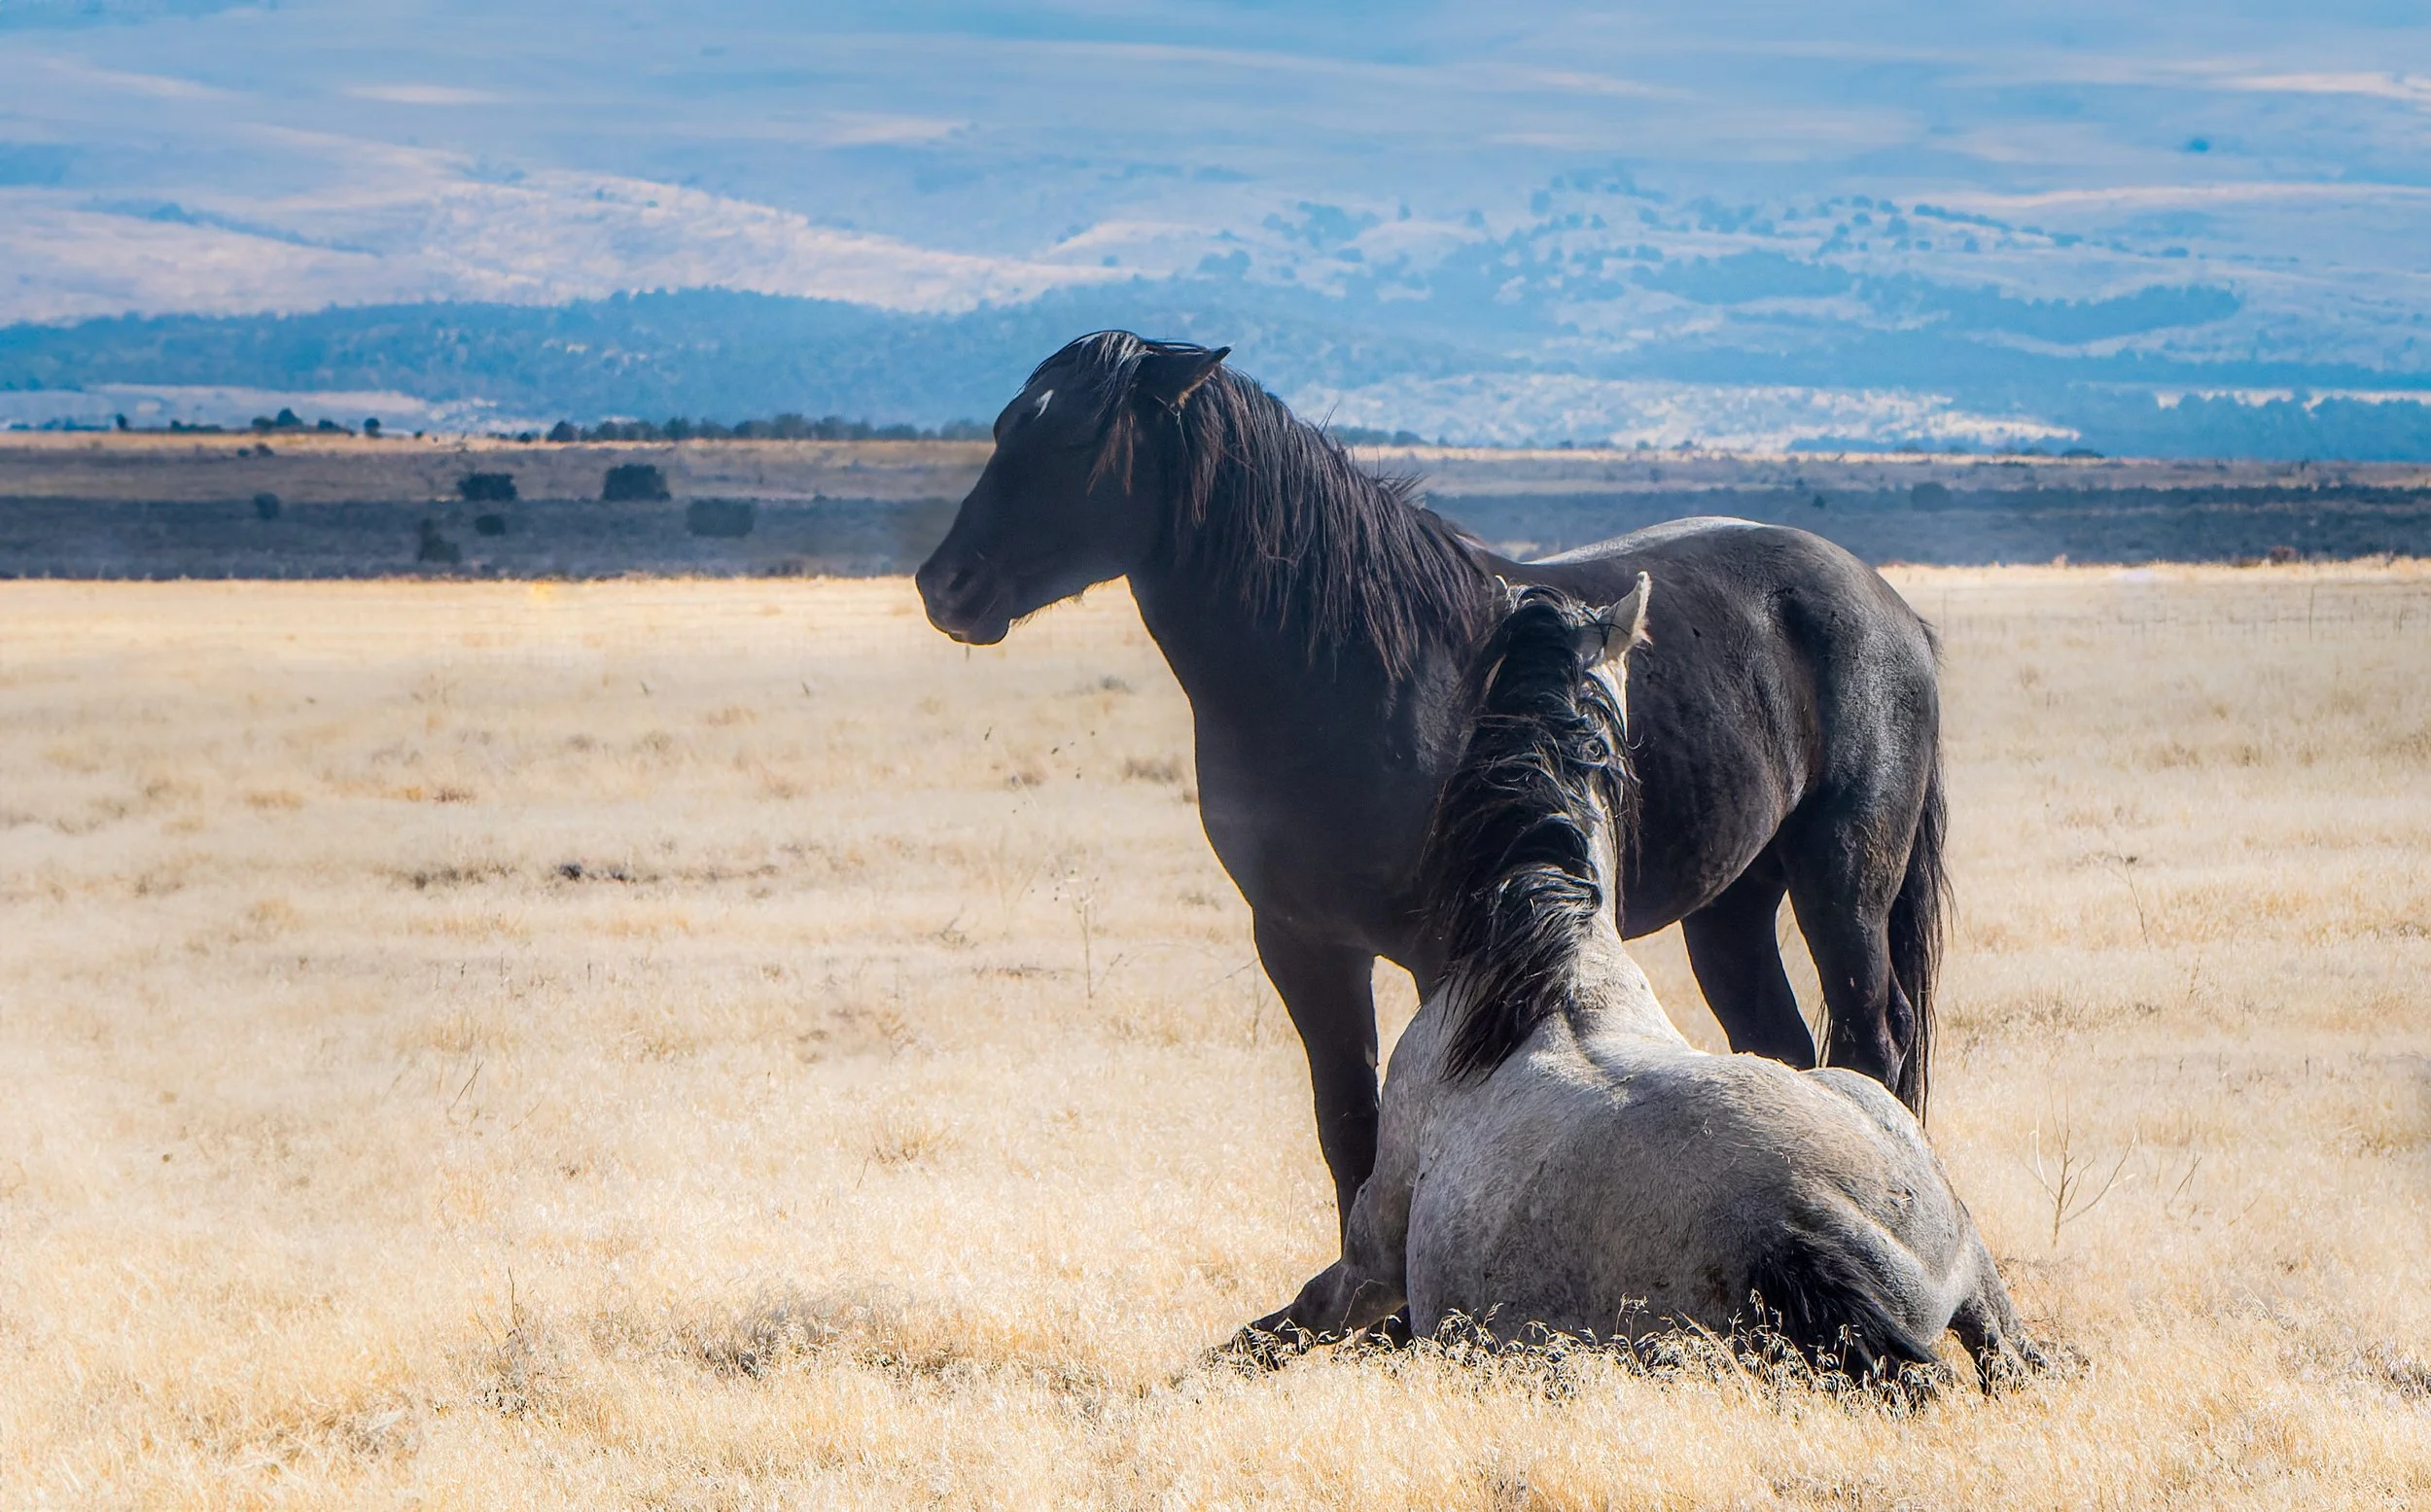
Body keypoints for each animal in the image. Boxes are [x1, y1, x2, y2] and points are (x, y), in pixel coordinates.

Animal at [915, 332, 1948, 1229]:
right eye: (1005, 426)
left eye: (1075, 439)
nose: (945, 586)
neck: (1345, 669)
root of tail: (1888, 606)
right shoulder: (1301, 941)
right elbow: (1350, 1130)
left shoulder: (1440, 946)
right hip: (1731, 907)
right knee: (1783, 1045)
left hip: (1840, 883)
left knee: (1875, 1035)